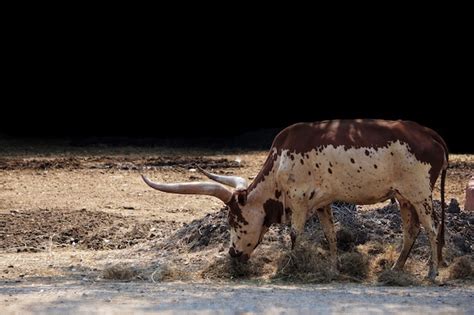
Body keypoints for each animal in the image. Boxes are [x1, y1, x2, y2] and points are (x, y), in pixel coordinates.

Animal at [141, 119, 448, 280]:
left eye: (234, 219)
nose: (233, 254)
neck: (279, 163)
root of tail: (429, 133)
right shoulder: (323, 203)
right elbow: (330, 235)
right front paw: (334, 268)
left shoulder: (299, 201)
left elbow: (294, 234)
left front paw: (291, 266)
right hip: (404, 197)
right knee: (411, 230)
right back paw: (396, 269)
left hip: (420, 193)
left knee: (432, 228)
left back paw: (432, 273)